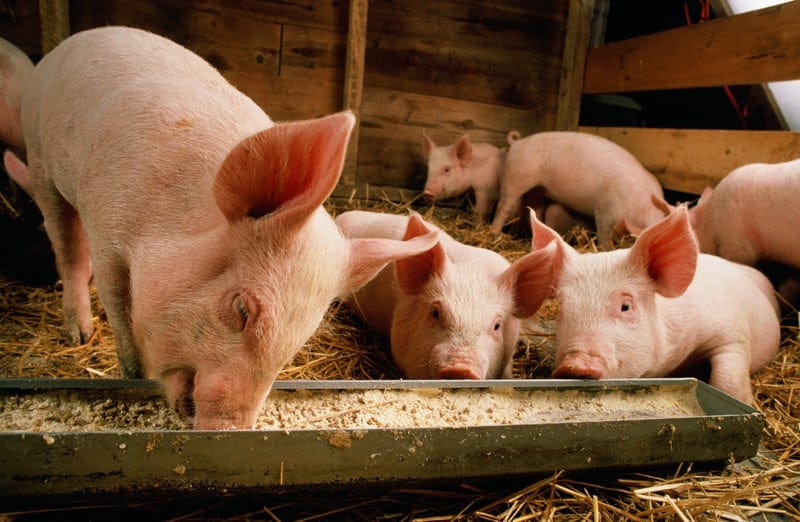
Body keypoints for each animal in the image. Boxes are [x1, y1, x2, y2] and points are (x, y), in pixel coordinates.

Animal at [13, 26, 440, 430]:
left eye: (301, 335)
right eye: (241, 308)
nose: (230, 426)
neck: (163, 222)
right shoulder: (107, 228)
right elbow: (118, 305)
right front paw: (131, 375)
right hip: (38, 156)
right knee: (66, 244)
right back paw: (79, 335)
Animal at [490, 131, 668, 245]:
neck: (642, 206)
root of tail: (517, 142)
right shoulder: (604, 212)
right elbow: (603, 238)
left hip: (538, 188)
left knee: (536, 209)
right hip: (515, 177)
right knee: (504, 206)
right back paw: (495, 234)